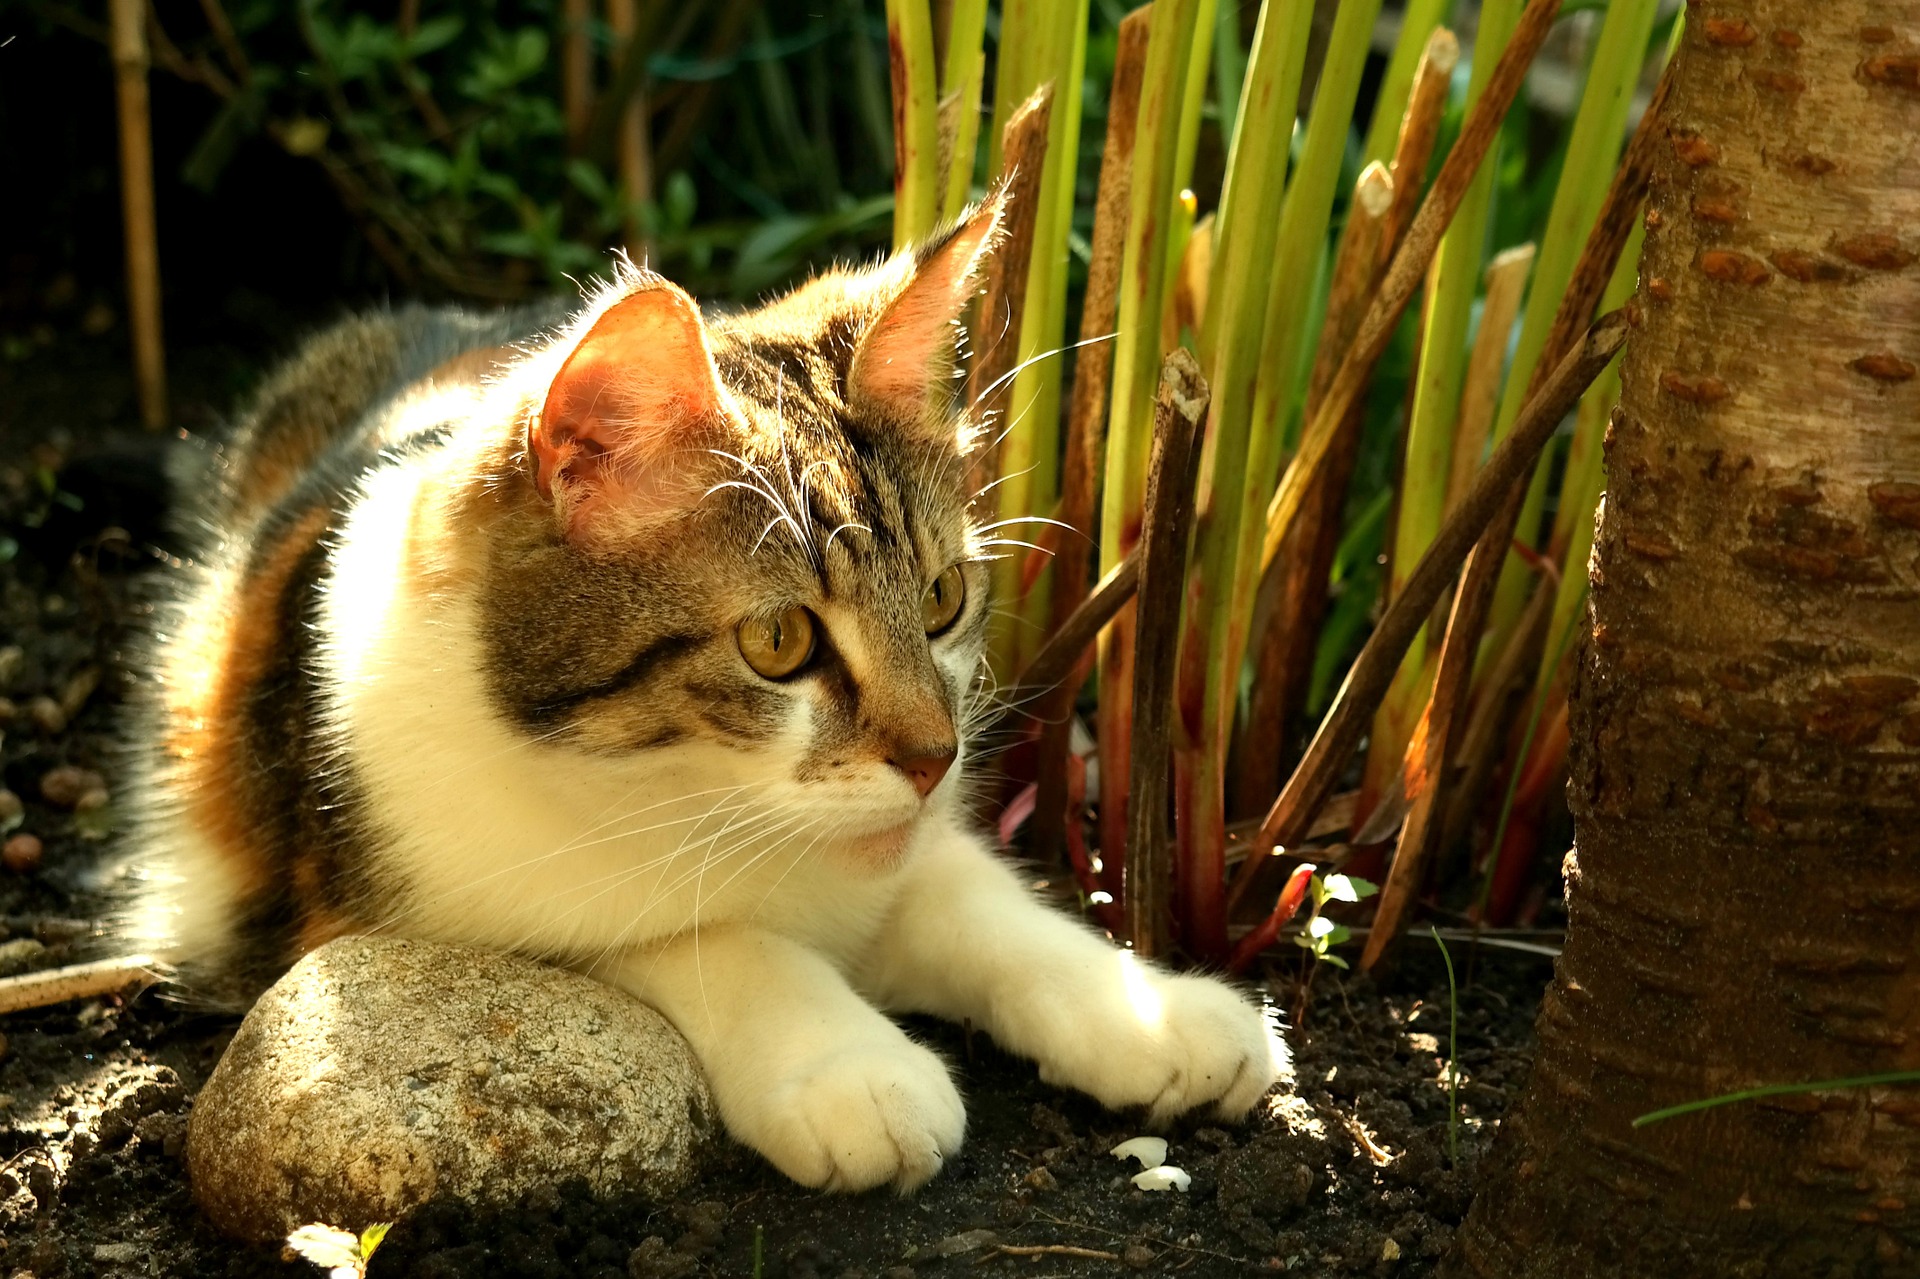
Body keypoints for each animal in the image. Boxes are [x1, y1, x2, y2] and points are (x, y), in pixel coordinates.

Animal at [127, 193, 1282, 1190]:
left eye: (943, 597)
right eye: (778, 641)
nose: (933, 757)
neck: (671, 794)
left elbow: (971, 896)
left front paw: (1150, 1008)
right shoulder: (378, 905)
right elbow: (683, 937)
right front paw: (848, 1061)